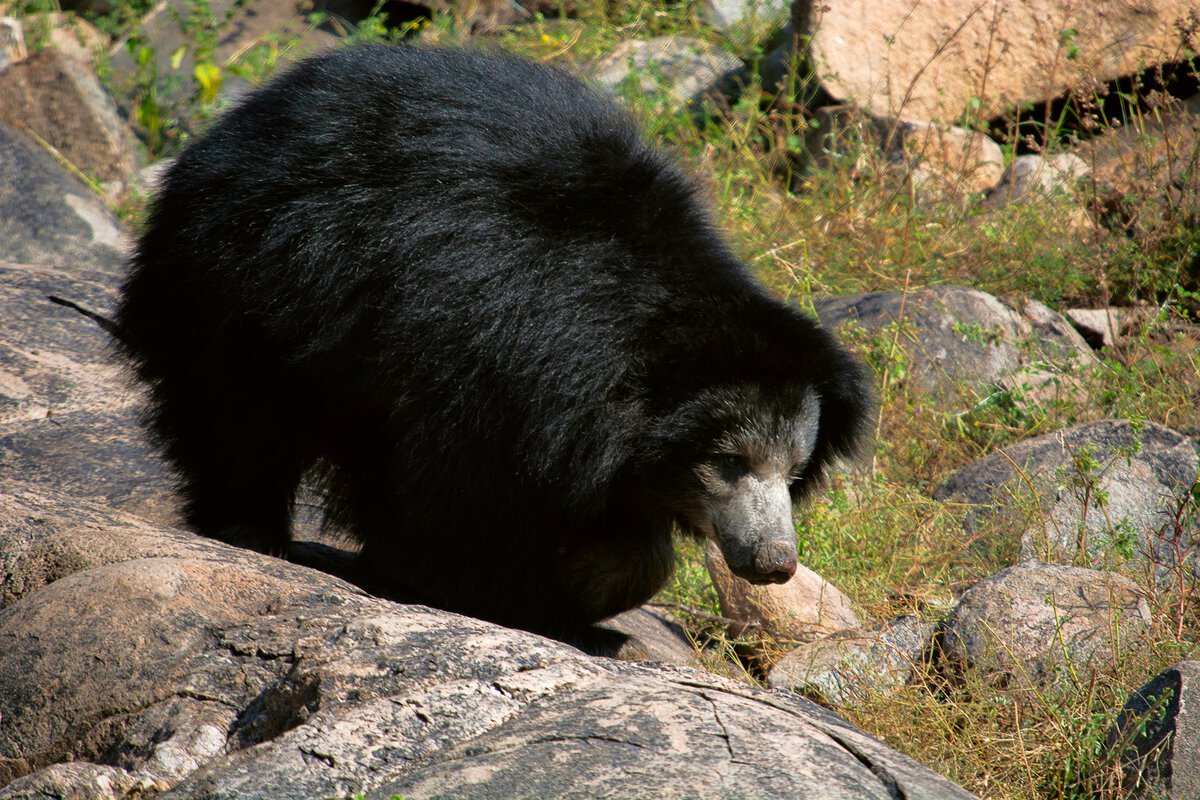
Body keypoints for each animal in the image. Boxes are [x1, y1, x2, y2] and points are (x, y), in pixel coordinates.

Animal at [119, 43, 873, 642]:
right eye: (728, 462)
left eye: (794, 470)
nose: (773, 562)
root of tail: (240, 124)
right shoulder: (479, 350)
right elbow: (463, 487)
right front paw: (506, 587)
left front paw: (587, 574)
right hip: (248, 286)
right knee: (239, 416)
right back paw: (249, 526)